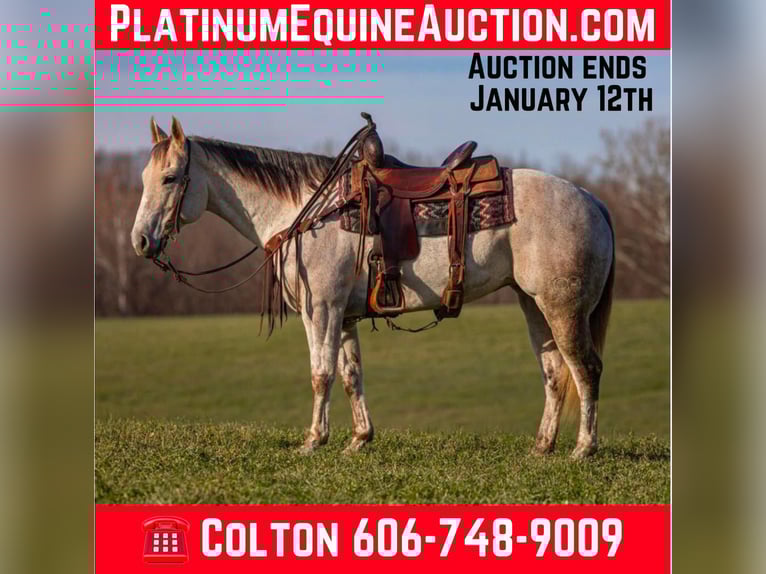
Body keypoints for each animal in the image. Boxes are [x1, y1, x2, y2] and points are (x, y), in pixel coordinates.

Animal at [130, 116, 615, 459]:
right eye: (144, 180)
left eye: (170, 178)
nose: (140, 241)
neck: (306, 212)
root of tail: (593, 201)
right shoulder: (342, 314)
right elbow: (350, 375)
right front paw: (359, 439)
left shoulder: (322, 308)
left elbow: (321, 373)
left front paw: (313, 440)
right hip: (534, 306)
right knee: (554, 373)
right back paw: (542, 447)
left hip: (563, 309)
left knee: (586, 369)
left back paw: (583, 449)